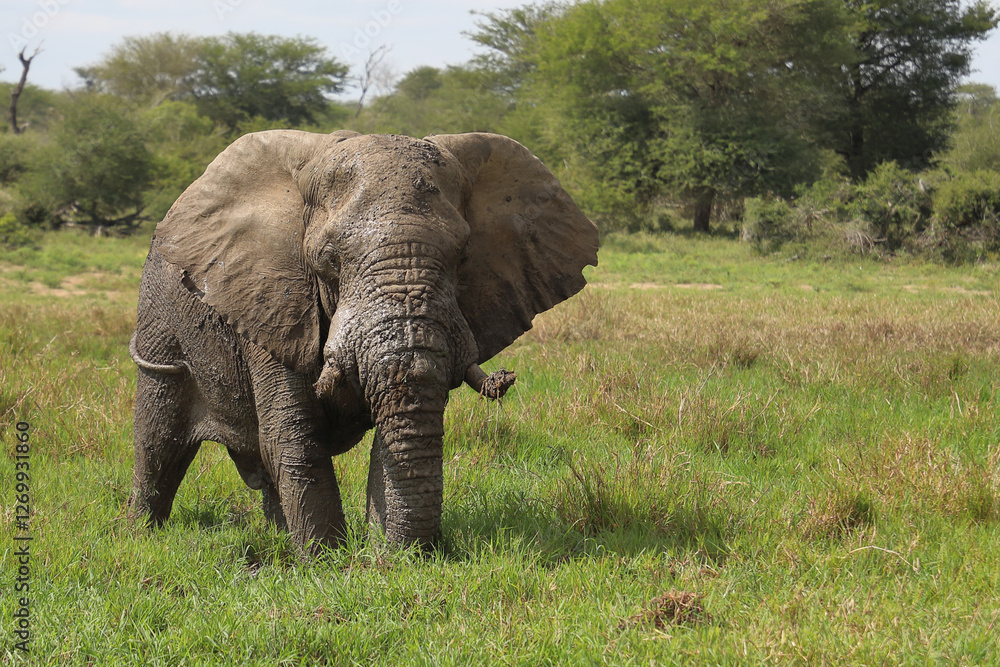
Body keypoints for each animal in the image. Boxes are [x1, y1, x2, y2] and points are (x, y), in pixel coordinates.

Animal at [127, 129, 599, 553]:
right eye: (328, 261)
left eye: (463, 256)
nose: (397, 559)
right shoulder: (271, 300)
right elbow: (294, 434)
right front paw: (326, 563)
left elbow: (394, 428)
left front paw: (379, 556)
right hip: (158, 322)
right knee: (159, 438)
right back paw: (140, 538)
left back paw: (278, 538)